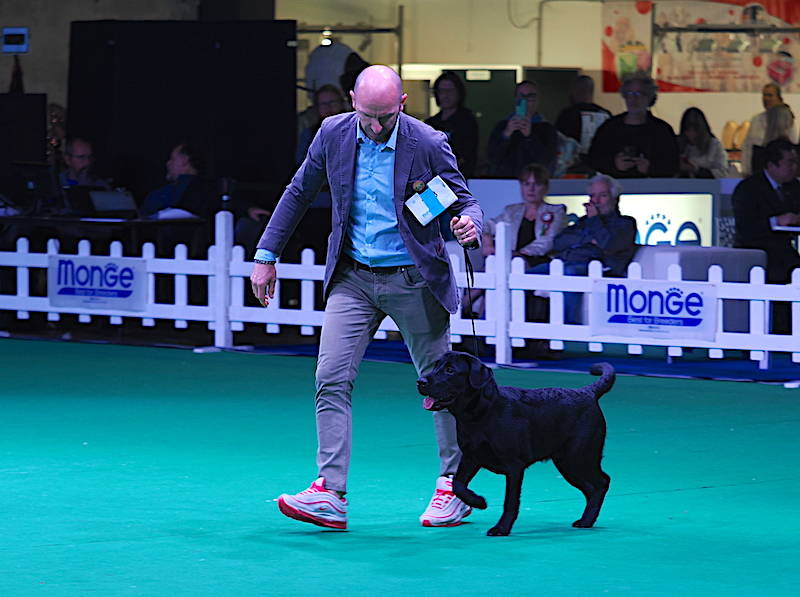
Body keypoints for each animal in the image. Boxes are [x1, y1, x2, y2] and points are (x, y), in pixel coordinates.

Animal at [418, 352, 612, 532]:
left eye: (450, 370)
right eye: (436, 366)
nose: (420, 381)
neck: (481, 414)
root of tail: (588, 392)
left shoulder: (514, 465)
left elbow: (510, 501)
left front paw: (501, 528)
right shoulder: (470, 456)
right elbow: (458, 484)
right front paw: (479, 501)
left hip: (578, 456)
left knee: (601, 482)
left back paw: (587, 520)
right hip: (567, 462)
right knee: (592, 487)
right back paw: (585, 520)